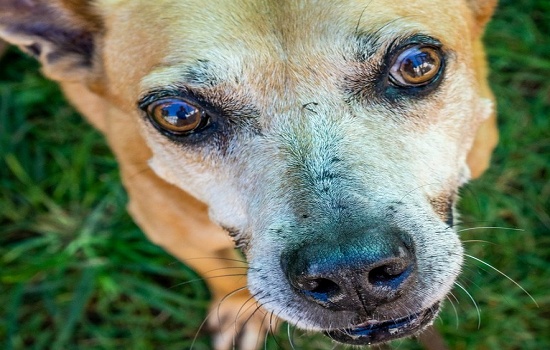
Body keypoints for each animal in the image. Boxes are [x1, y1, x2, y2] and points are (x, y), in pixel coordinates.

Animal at [0, 1, 500, 348]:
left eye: (416, 64)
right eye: (178, 114)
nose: (351, 273)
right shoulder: (165, 223)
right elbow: (219, 273)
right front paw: (241, 309)